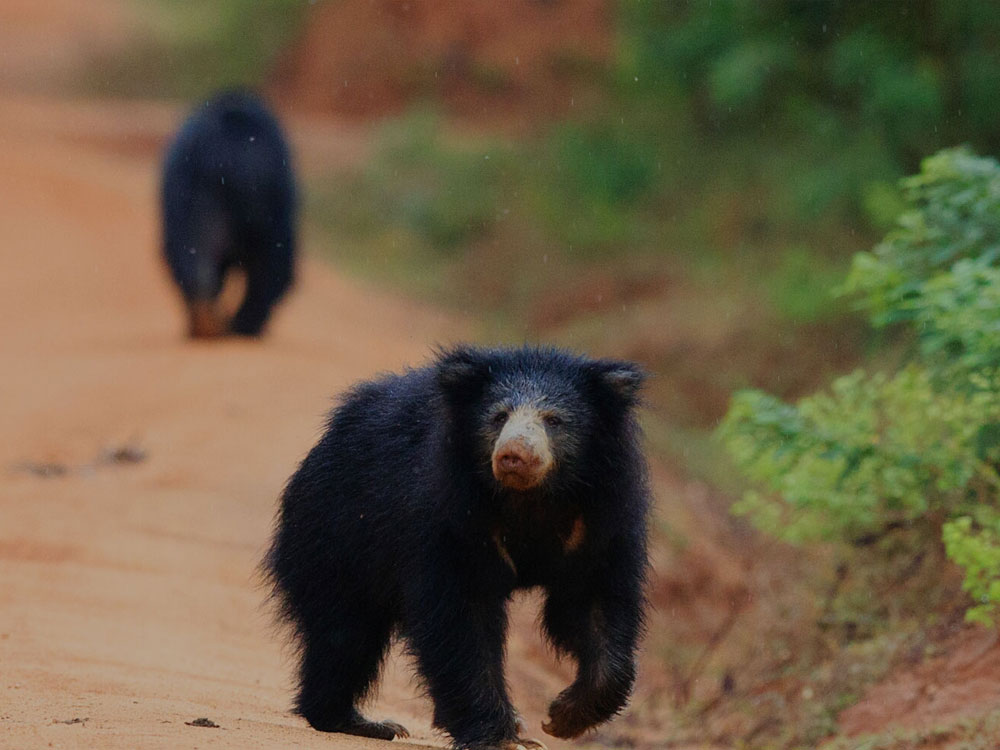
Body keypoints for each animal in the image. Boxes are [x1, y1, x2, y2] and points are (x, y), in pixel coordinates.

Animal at [264, 345, 651, 750]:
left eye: (554, 420)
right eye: (498, 416)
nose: (514, 454)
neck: (529, 498)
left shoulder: (599, 524)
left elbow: (591, 606)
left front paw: (563, 718)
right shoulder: (450, 518)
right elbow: (461, 620)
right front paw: (499, 736)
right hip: (336, 533)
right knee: (344, 630)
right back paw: (356, 720)